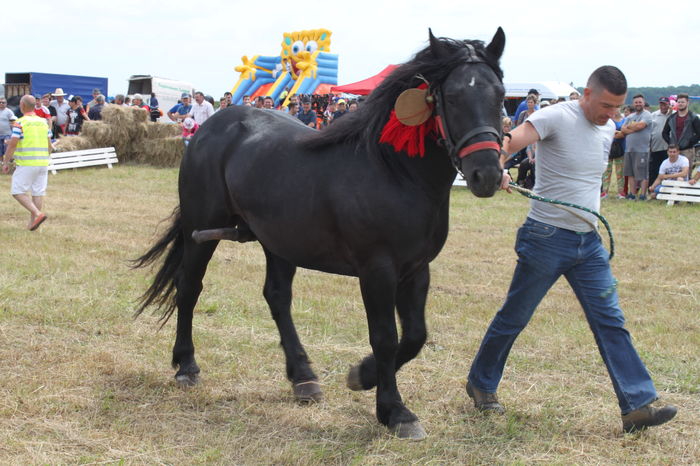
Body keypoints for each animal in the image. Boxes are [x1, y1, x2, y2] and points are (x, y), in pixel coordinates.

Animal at [133, 28, 506, 439]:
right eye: (452, 97)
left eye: (500, 95)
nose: (487, 174)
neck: (394, 172)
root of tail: (210, 126)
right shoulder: (377, 270)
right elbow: (386, 337)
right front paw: (394, 410)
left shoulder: (416, 268)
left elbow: (415, 336)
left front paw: (363, 375)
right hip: (202, 230)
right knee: (190, 287)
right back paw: (186, 365)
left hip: (278, 240)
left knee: (277, 297)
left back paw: (303, 377)